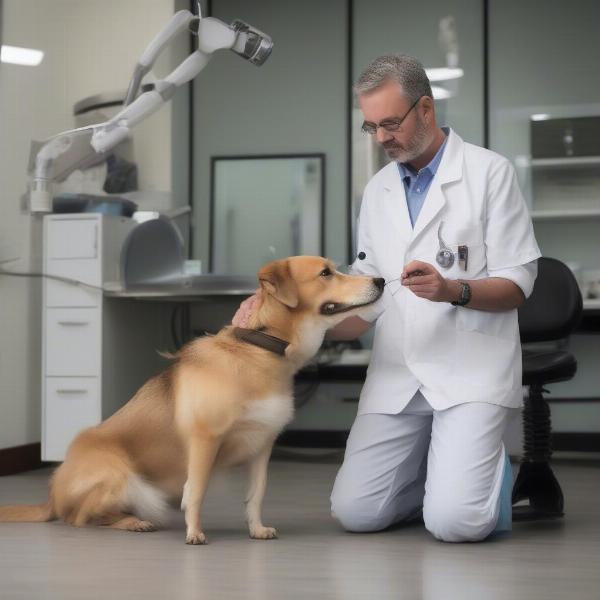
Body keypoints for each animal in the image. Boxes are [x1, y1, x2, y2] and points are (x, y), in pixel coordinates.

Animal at [0, 255, 384, 548]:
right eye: (325, 273)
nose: (381, 279)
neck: (260, 349)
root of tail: (52, 495)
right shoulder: (204, 440)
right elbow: (196, 491)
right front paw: (195, 533)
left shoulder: (262, 446)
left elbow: (256, 494)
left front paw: (256, 528)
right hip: (122, 476)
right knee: (80, 518)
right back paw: (131, 522)